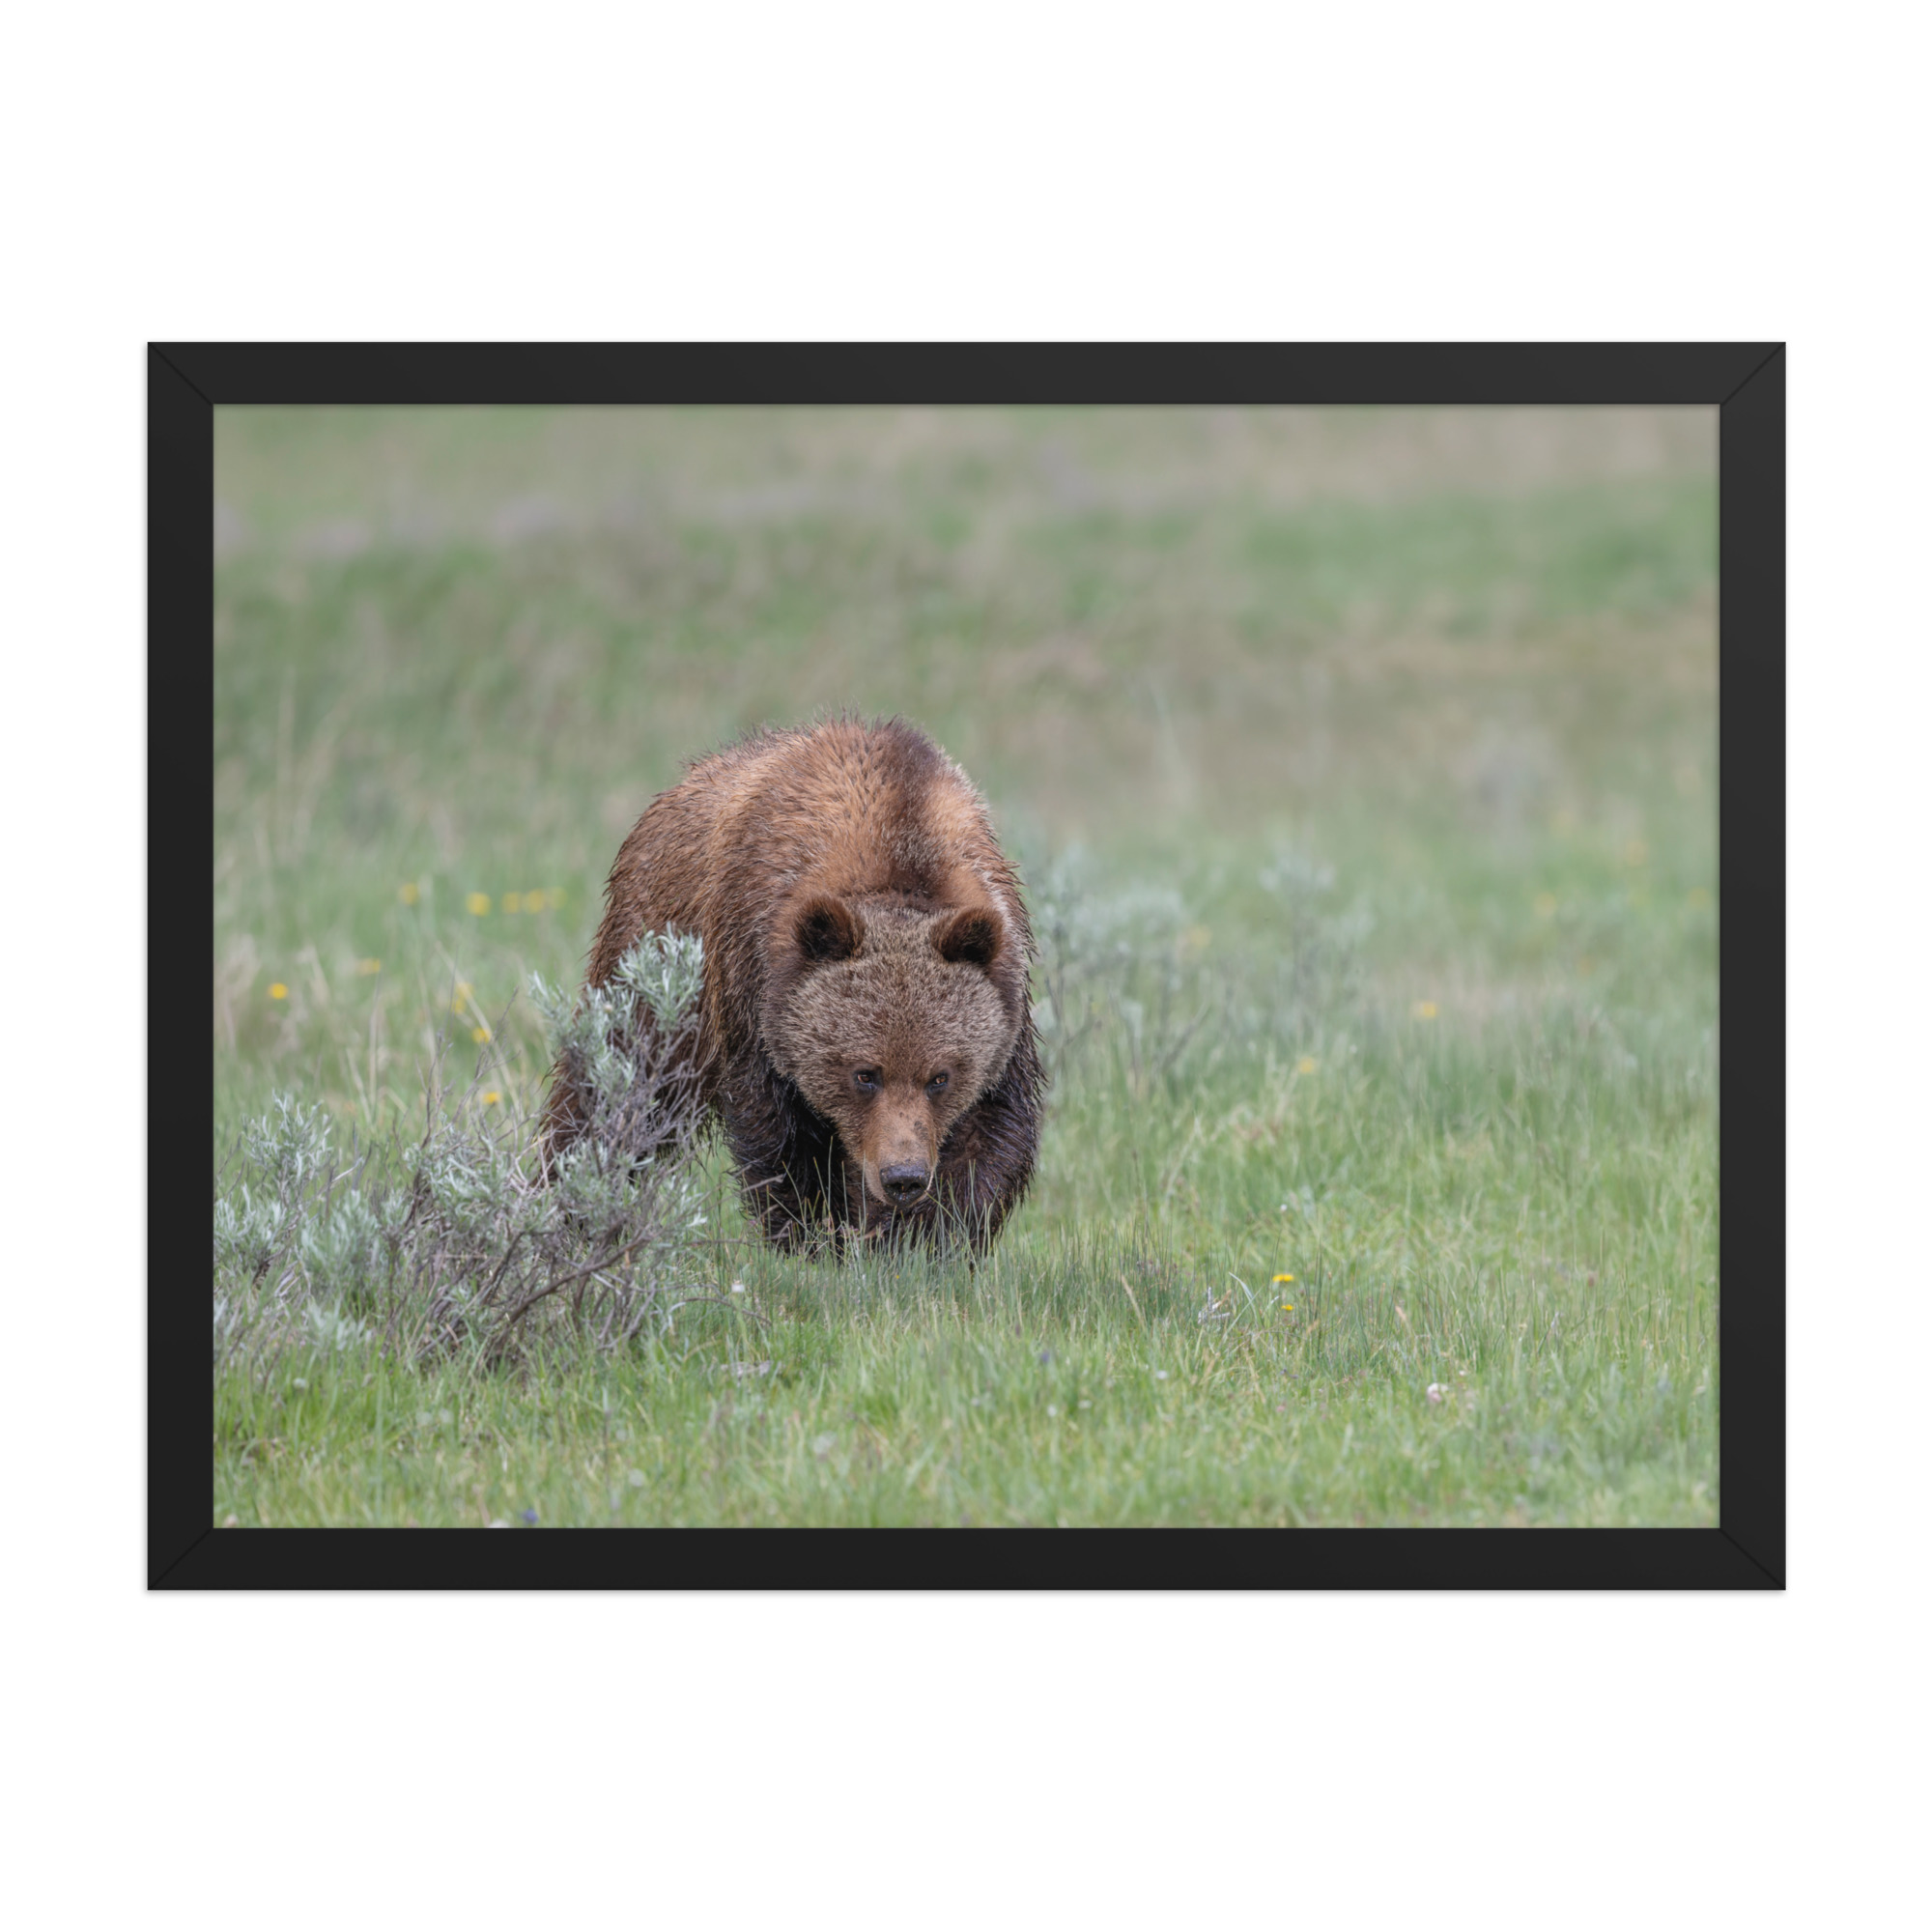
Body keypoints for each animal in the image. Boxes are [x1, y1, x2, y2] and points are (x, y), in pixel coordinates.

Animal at [541, 717, 1045, 1254]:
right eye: (864, 1073)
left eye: (940, 1077)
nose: (903, 1177)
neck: (899, 847)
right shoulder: (753, 985)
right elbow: (782, 1138)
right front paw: (814, 1237)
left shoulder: (1005, 999)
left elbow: (989, 1136)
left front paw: (921, 1241)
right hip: (655, 960)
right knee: (617, 1084)